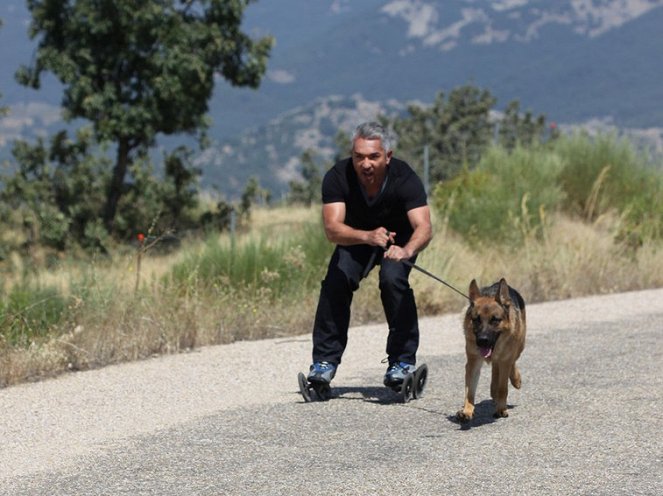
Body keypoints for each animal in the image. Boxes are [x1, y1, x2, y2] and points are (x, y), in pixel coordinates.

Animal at [454, 280, 528, 422]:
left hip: (519, 347)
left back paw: (515, 380)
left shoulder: (505, 360)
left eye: (495, 320)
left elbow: (503, 388)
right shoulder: (473, 363)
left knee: (511, 362)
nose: (482, 340)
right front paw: (467, 410)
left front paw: (501, 409)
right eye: (476, 319)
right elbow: (469, 391)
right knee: (495, 367)